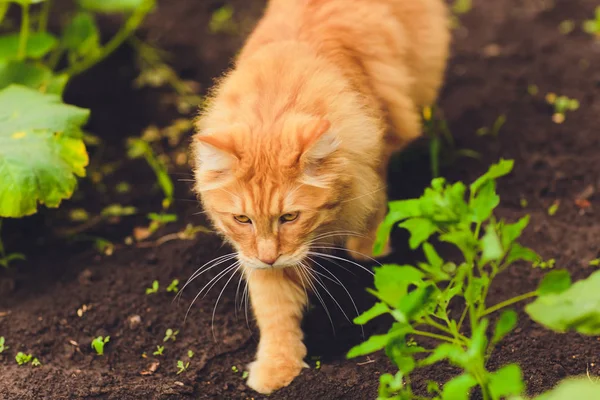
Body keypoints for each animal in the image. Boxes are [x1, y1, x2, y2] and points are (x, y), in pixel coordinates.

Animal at [192, 0, 450, 394]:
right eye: (242, 220)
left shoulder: (373, 149)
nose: (269, 258)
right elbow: (275, 310)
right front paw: (278, 367)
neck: (274, 104)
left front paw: (369, 248)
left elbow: (374, 202)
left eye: (289, 217)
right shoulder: (255, 258)